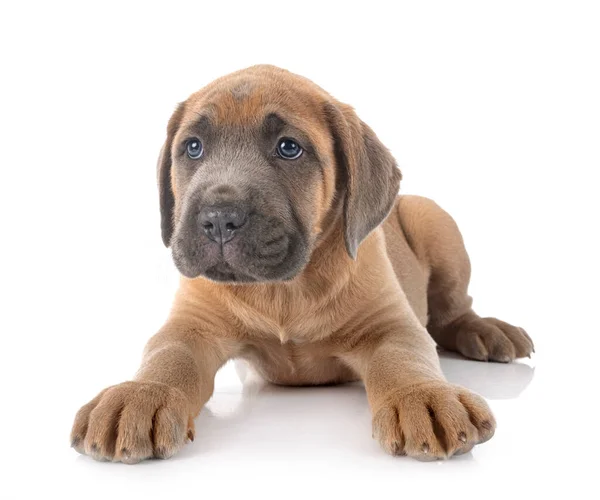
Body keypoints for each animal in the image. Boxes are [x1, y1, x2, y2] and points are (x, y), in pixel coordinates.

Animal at [71, 64, 536, 462]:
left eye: (289, 148)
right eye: (193, 147)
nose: (218, 219)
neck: (285, 288)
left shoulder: (391, 326)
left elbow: (404, 360)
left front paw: (422, 396)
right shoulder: (192, 326)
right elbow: (168, 357)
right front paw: (141, 393)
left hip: (433, 218)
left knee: (454, 310)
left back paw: (485, 330)